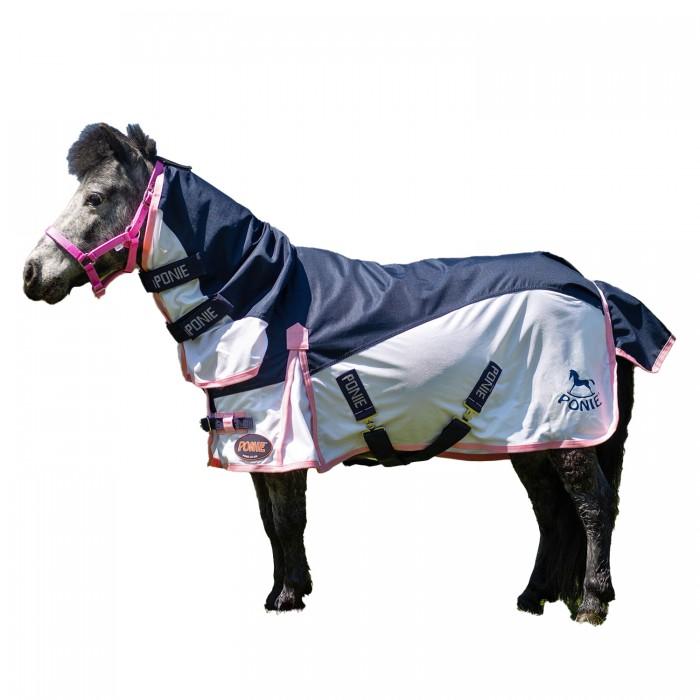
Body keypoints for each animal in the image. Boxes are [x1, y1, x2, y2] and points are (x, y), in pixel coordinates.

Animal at [23, 123, 674, 624]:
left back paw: (590, 602)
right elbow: (272, 523)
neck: (260, 297)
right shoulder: (260, 442)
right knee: (552, 512)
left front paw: (285, 599)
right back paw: (535, 597)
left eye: (96, 198)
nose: (31, 274)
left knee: (593, 505)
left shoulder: (277, 438)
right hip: (529, 435)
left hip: (565, 429)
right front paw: (289, 589)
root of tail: (595, 290)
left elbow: (286, 520)